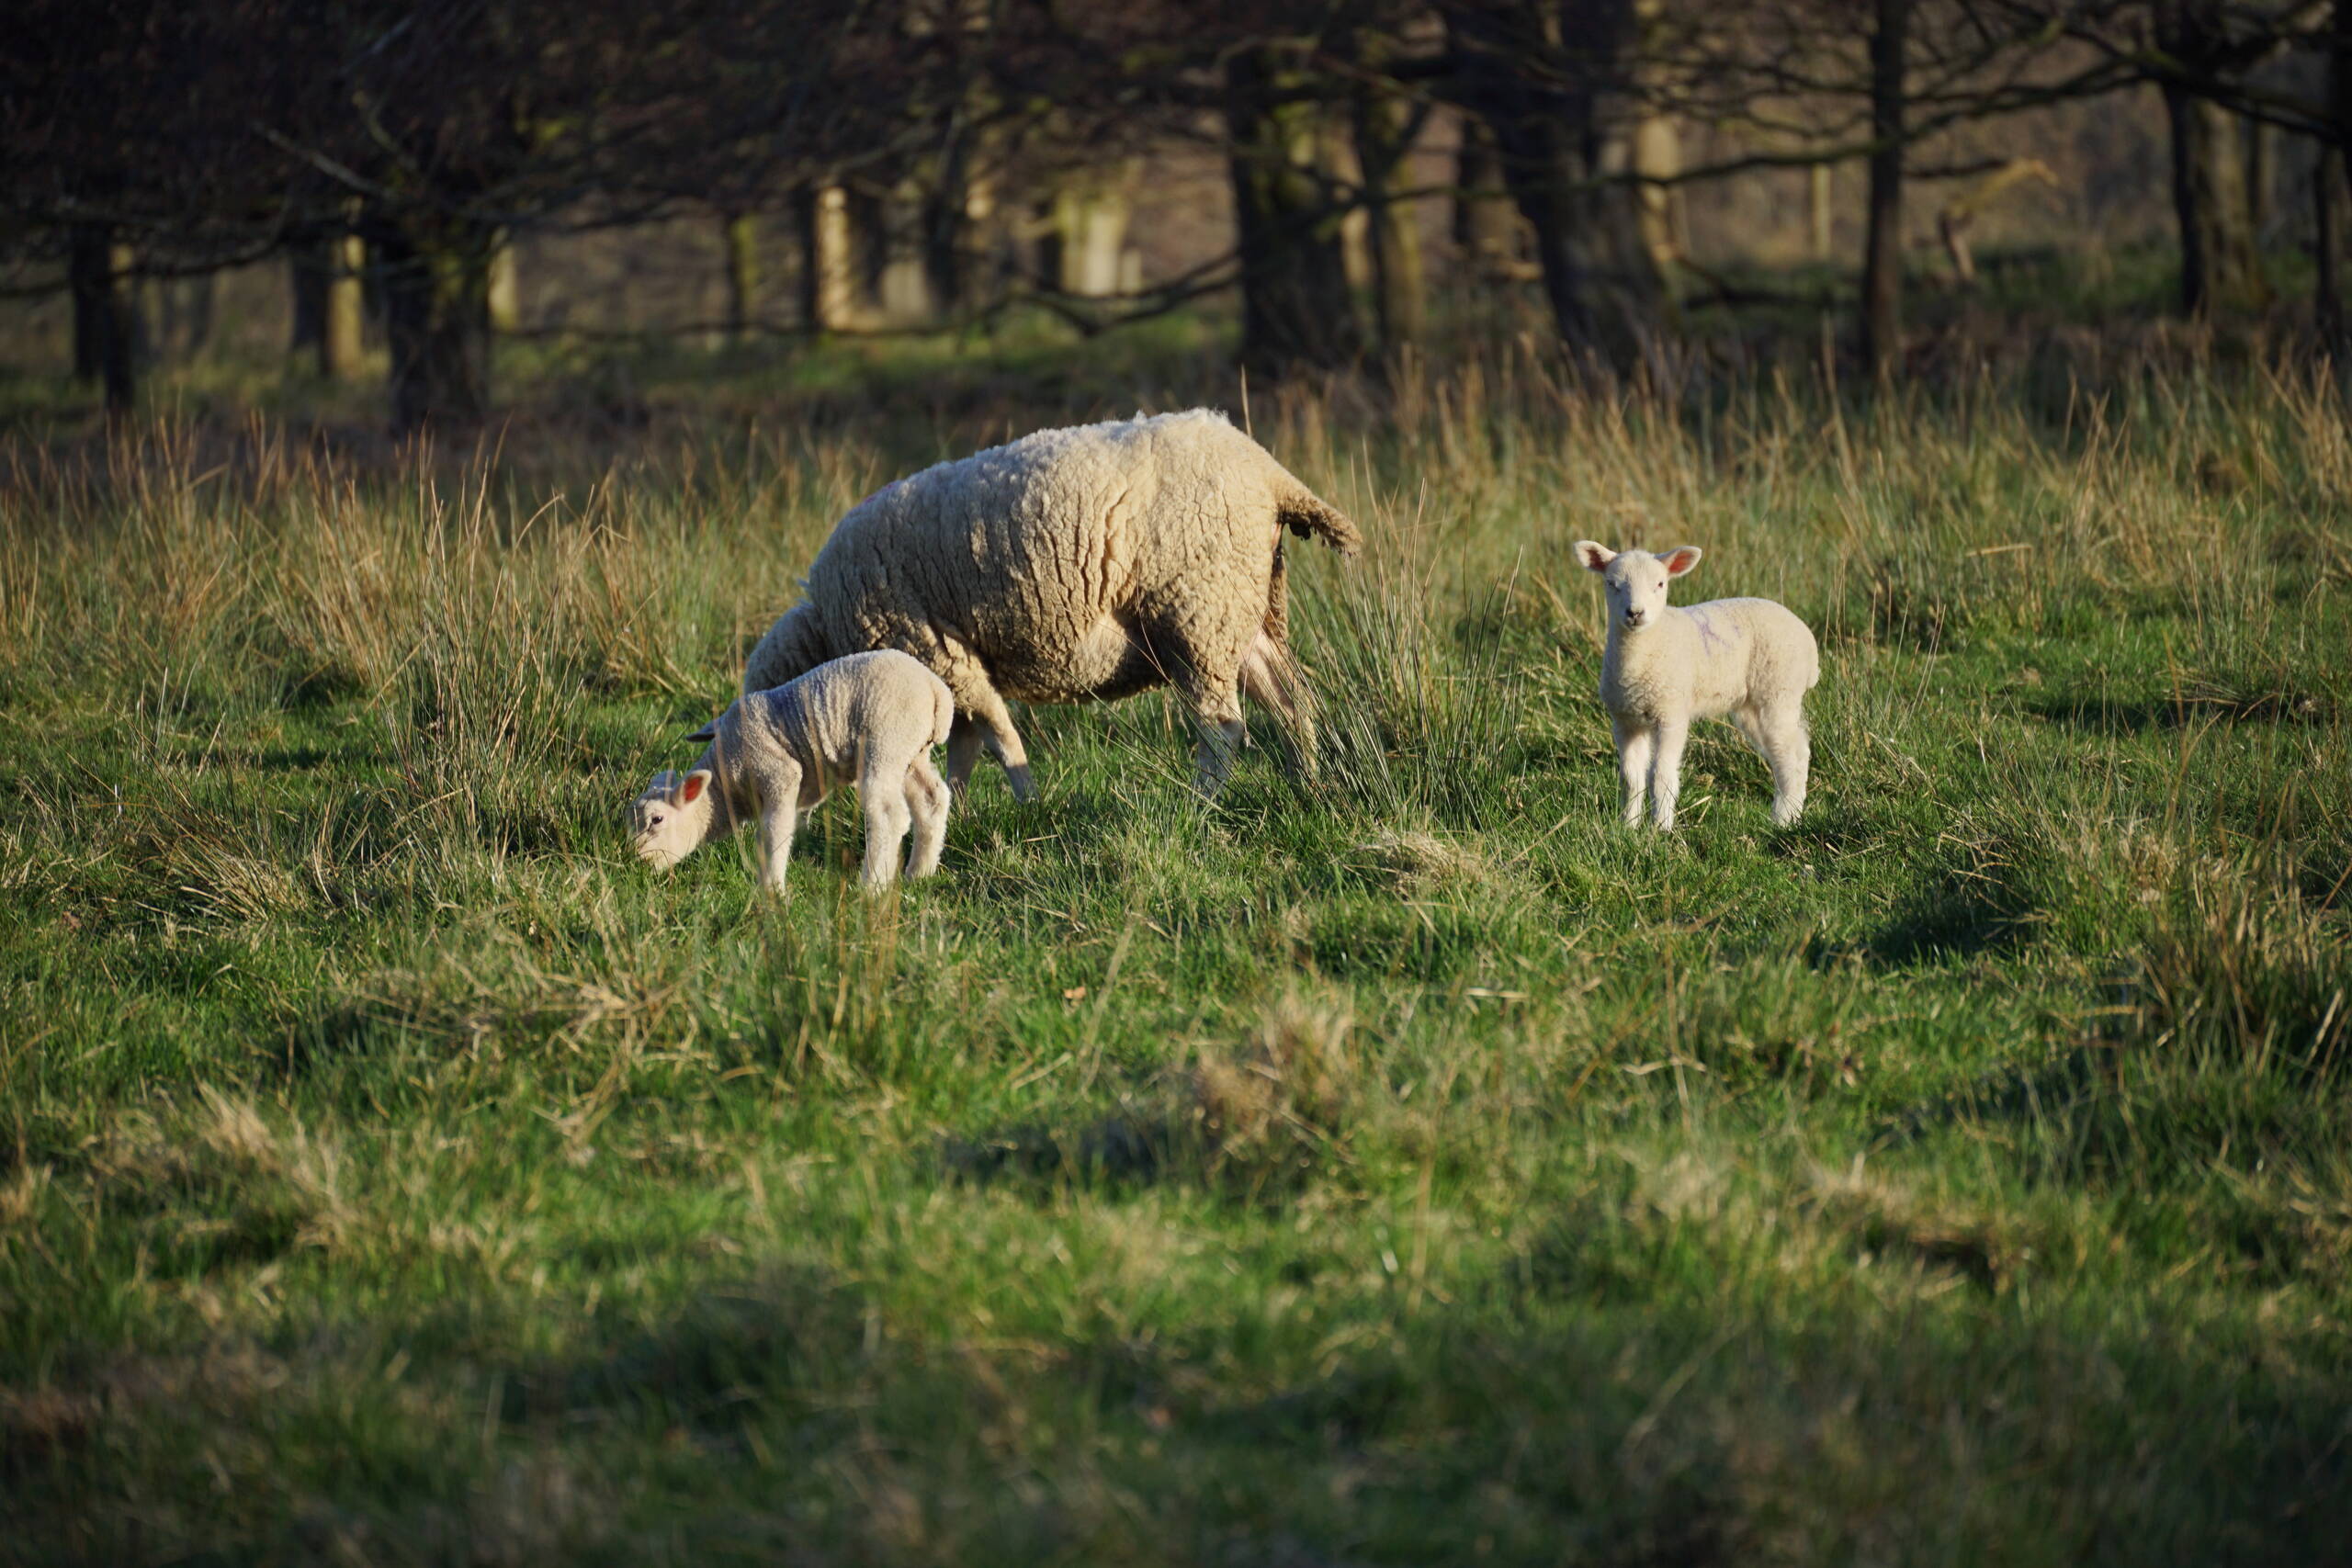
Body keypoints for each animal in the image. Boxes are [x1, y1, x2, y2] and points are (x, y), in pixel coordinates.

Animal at [628, 649, 955, 894]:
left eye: (657, 820)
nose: (637, 865)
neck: (725, 782)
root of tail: (935, 688)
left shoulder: (778, 775)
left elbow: (774, 832)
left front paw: (772, 888)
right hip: (911, 752)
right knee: (932, 799)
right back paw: (919, 873)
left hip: (886, 739)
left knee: (888, 814)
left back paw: (872, 886)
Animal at [741, 409, 1361, 799]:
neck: (830, 634)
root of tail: (1270, 473)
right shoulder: (953, 672)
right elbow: (966, 747)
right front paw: (955, 810)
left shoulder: (945, 660)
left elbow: (999, 739)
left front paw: (1027, 800)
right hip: (1245, 611)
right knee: (1292, 703)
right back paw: (1310, 783)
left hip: (1197, 611)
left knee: (1222, 728)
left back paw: (1198, 805)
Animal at [1574, 542, 1821, 831]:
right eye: (1611, 584)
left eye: (1660, 584)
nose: (1635, 613)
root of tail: (1808, 641)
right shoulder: (1625, 720)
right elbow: (1630, 777)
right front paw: (1628, 826)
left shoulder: (1671, 714)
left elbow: (1660, 775)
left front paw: (1660, 828)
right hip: (1753, 705)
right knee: (1790, 751)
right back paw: (1789, 814)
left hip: (1779, 689)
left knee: (1791, 755)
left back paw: (1784, 820)